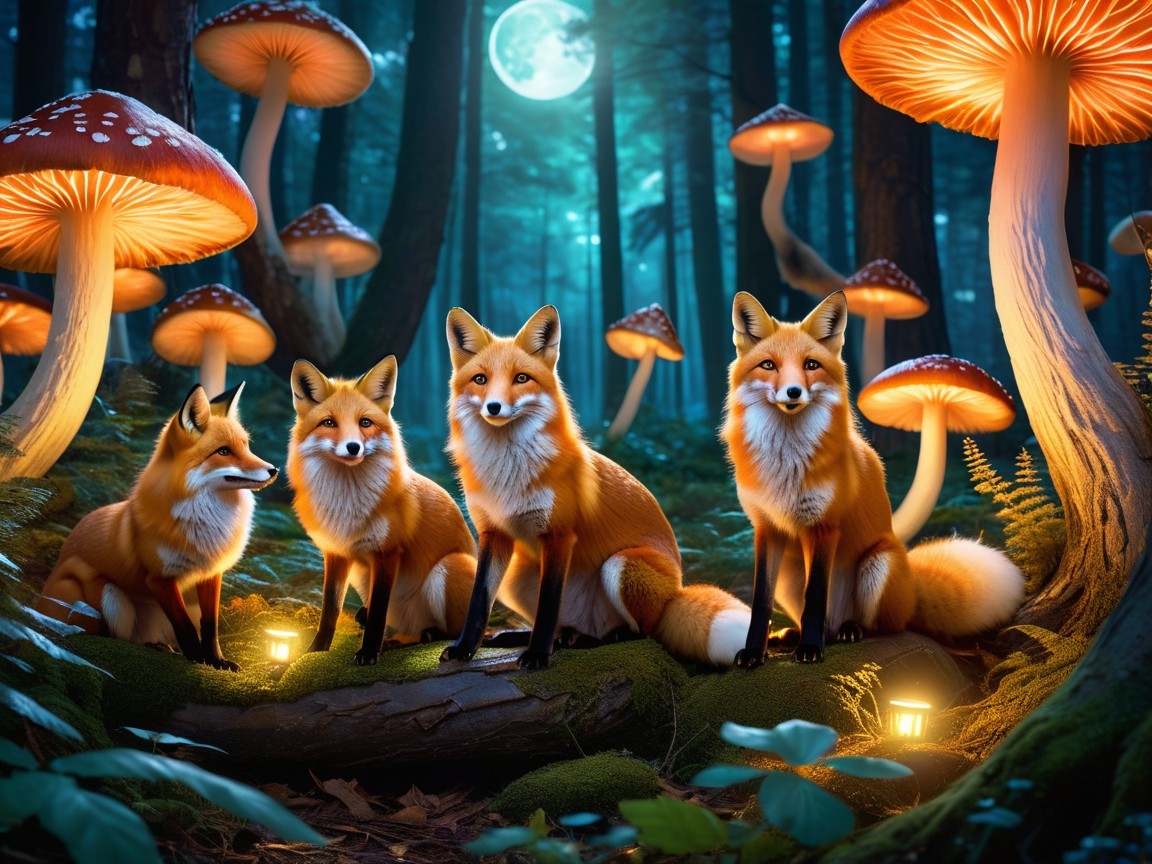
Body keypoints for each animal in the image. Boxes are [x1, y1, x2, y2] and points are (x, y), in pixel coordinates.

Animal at [35, 383, 278, 670]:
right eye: (224, 451)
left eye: (246, 446)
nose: (274, 470)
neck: (205, 520)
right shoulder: (160, 578)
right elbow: (185, 627)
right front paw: (196, 660)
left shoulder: (210, 573)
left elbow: (210, 626)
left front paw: (216, 661)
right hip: (109, 597)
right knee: (106, 635)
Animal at [287, 356, 477, 666]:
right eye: (329, 423)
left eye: (365, 423)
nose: (353, 447)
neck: (348, 503)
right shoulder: (336, 554)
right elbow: (330, 611)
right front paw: (315, 652)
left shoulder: (387, 552)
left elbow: (377, 612)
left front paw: (367, 654)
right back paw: (400, 640)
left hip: (450, 566)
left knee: (450, 631)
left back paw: (427, 638)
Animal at [440, 304, 751, 670]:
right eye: (480, 380)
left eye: (521, 378)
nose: (494, 407)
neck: (507, 473)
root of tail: (676, 595)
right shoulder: (493, 533)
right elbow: (479, 602)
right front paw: (464, 648)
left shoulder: (559, 533)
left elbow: (548, 606)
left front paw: (537, 656)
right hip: (517, 574)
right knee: (567, 627)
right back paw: (540, 637)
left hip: (622, 566)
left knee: (641, 634)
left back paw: (588, 639)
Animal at [721, 290, 1025, 666]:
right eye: (768, 365)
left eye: (811, 365)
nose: (793, 392)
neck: (785, 465)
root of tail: (911, 592)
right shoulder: (766, 528)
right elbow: (760, 604)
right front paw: (754, 652)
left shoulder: (824, 526)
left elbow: (815, 598)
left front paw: (810, 649)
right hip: (790, 574)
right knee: (825, 623)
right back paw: (795, 635)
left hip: (878, 563)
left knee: (881, 626)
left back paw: (848, 630)